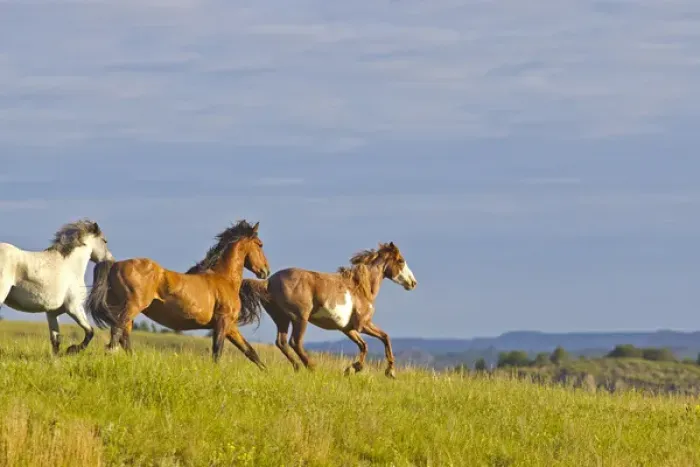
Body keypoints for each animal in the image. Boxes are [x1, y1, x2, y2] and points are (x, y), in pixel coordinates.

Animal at [0, 219, 114, 355]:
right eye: (104, 241)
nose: (112, 260)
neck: (71, 267)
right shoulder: (74, 307)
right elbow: (90, 331)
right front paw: (72, 349)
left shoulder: (52, 313)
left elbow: (56, 341)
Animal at [86, 220, 271, 367]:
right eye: (260, 244)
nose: (265, 271)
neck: (224, 279)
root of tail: (115, 265)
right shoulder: (222, 322)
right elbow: (217, 352)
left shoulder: (230, 326)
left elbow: (250, 352)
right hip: (132, 307)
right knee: (118, 332)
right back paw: (112, 354)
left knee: (124, 336)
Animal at [241, 241, 417, 378]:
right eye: (401, 261)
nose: (413, 283)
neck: (360, 288)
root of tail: (268, 282)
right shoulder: (363, 324)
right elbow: (385, 338)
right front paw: (390, 372)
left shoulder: (348, 329)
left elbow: (364, 345)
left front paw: (352, 369)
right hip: (300, 318)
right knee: (295, 342)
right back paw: (312, 367)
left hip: (281, 319)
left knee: (281, 342)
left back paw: (297, 367)